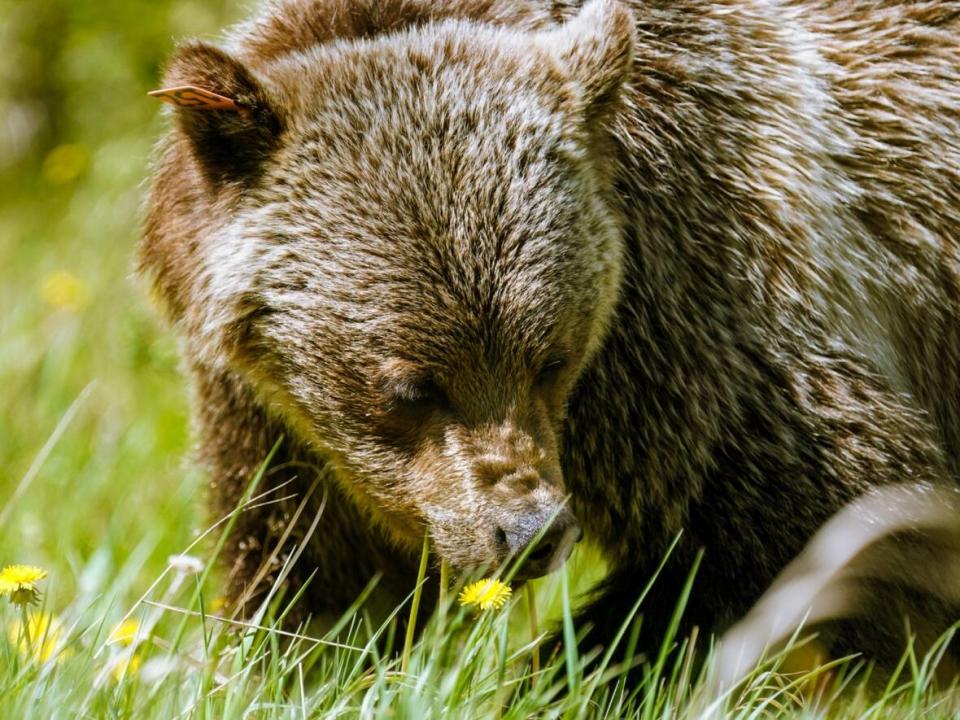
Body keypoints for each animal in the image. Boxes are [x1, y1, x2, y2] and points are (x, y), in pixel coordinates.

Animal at [141, 0, 960, 664]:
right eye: (411, 385)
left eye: (551, 358)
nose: (527, 533)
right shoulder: (278, 422)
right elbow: (313, 571)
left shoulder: (706, 333)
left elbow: (826, 529)